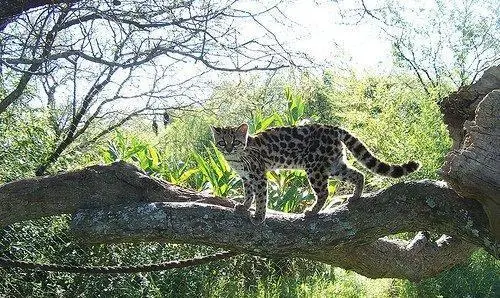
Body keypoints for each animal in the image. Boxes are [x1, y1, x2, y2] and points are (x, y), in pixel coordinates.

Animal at [211, 123, 418, 224]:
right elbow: (249, 194)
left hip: (314, 167)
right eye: (222, 142)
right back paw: (355, 197)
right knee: (358, 174)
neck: (236, 159)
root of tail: (332, 128)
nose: (228, 149)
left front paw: (259, 216)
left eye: (235, 141)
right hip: (335, 166)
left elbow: (261, 197)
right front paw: (244, 206)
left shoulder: (259, 175)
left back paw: (312, 211)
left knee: (324, 192)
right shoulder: (247, 178)